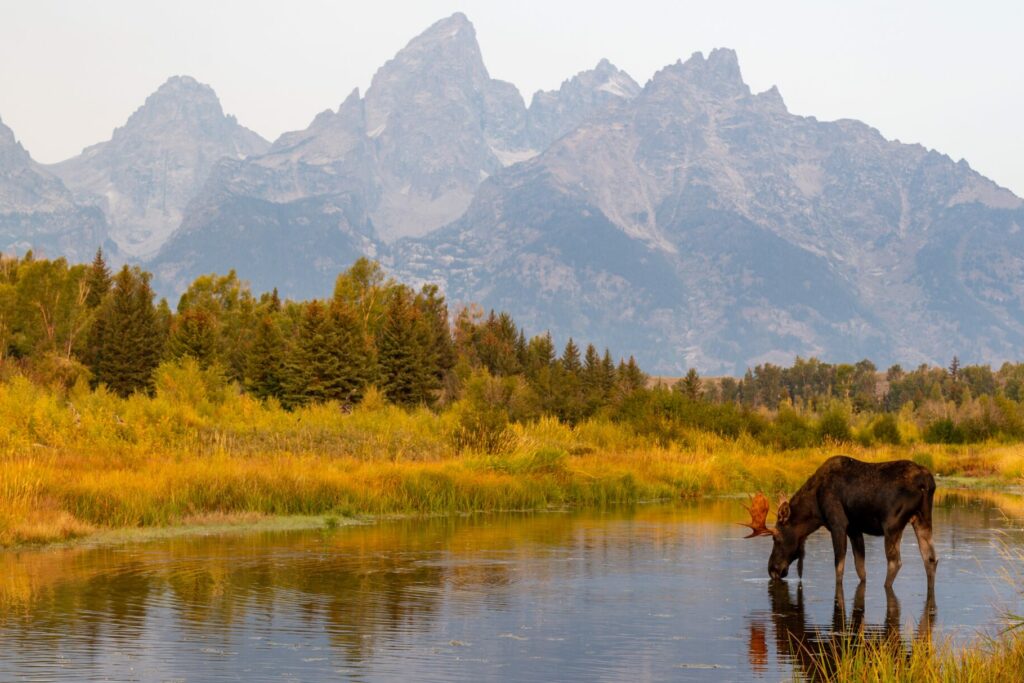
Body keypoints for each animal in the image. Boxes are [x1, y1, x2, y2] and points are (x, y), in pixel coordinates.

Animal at [741, 456, 937, 589]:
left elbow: (839, 567)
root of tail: (927, 483)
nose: (772, 569)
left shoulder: (838, 524)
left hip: (892, 524)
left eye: (776, 538)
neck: (814, 510)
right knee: (930, 558)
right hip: (923, 519)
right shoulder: (855, 529)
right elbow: (860, 569)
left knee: (895, 562)